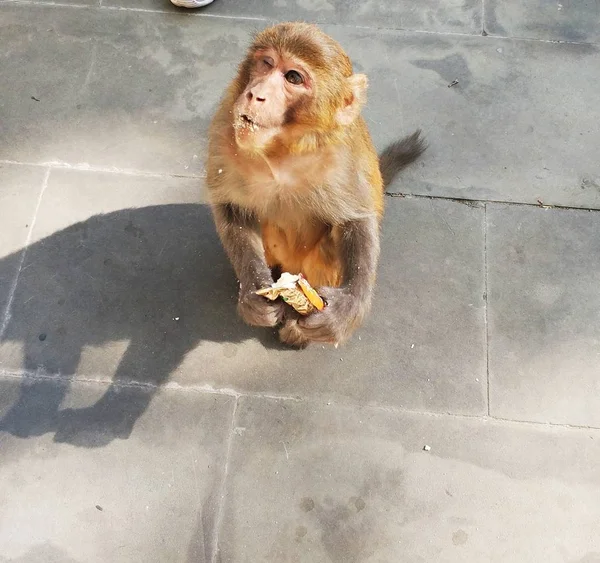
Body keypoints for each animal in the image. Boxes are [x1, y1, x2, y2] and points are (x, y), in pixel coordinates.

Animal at [206, 22, 426, 348]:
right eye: (266, 63)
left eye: (293, 77)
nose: (255, 94)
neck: (284, 149)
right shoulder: (225, 123)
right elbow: (234, 207)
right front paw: (254, 293)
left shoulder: (345, 152)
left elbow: (356, 219)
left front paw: (347, 309)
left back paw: (296, 329)